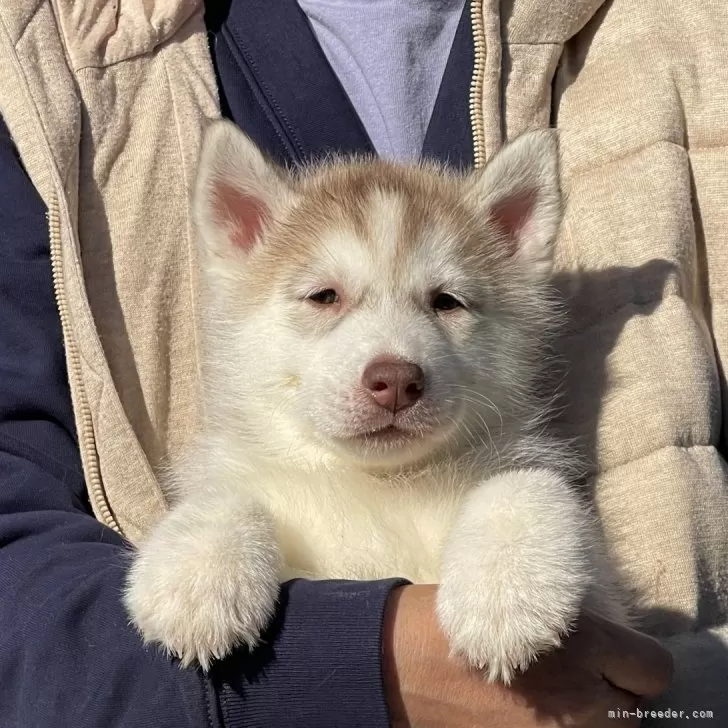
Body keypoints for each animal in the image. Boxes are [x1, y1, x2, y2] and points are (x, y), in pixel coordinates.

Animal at [125, 119, 624, 684]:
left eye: (446, 302)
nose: (397, 380)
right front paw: (197, 575)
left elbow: (526, 483)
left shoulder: (607, 603)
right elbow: (226, 497)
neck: (376, 486)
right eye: (325, 296)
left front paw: (507, 592)